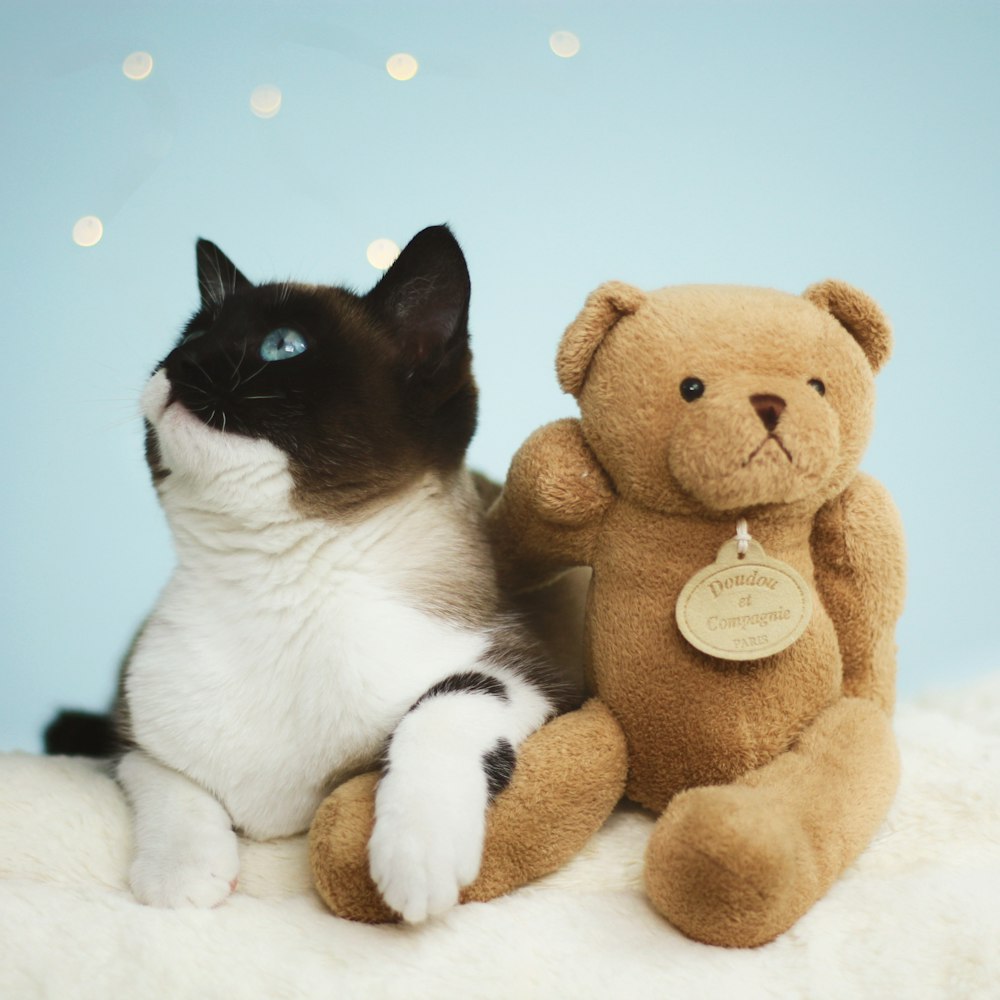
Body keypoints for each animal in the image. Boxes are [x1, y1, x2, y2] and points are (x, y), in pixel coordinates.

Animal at [74, 225, 584, 920]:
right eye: (189, 335)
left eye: (283, 346)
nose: (176, 364)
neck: (275, 580)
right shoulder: (130, 735)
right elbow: (165, 779)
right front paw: (182, 876)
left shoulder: (549, 678)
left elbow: (450, 697)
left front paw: (415, 858)